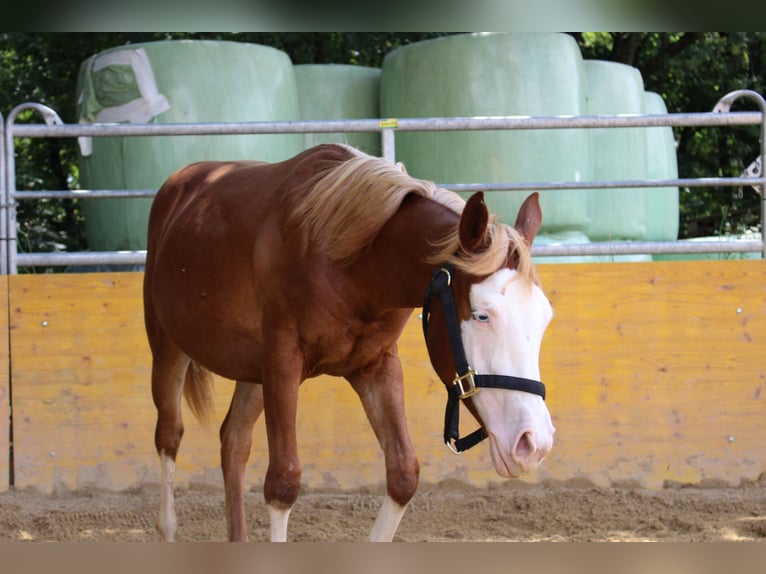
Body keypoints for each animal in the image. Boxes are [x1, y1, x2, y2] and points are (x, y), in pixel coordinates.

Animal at [144, 142, 556, 544]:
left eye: (544, 318)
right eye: (482, 315)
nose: (533, 443)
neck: (350, 258)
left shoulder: (376, 367)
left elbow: (403, 475)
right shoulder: (283, 362)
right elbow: (283, 483)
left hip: (254, 374)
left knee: (233, 440)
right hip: (169, 349)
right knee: (170, 436)